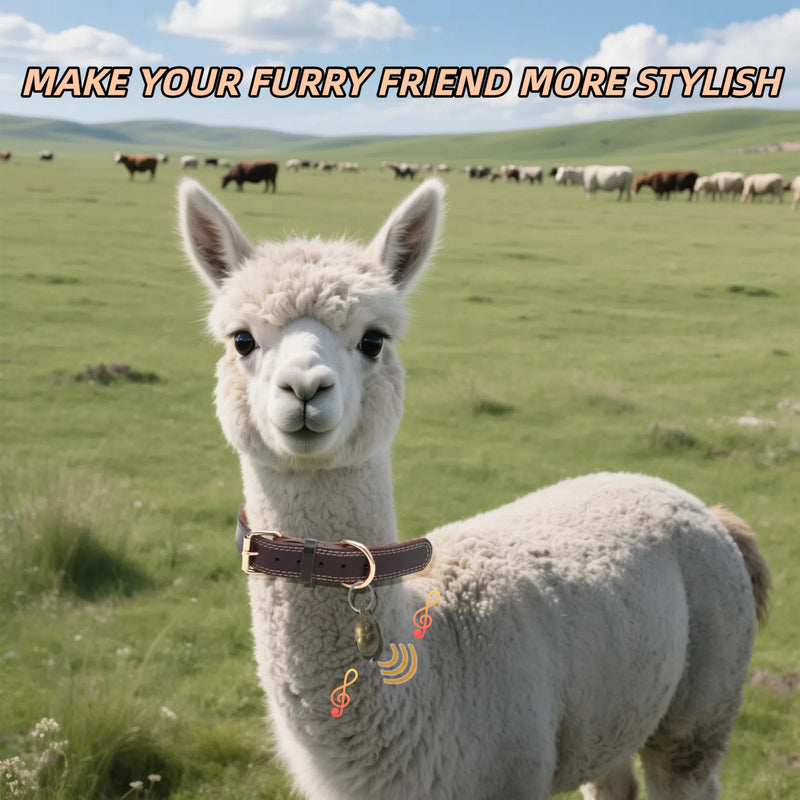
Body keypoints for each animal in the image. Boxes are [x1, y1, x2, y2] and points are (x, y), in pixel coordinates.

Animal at [178, 177, 770, 800]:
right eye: (242, 340)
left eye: (374, 340)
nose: (305, 389)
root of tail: (701, 506)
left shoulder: (510, 769)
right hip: (614, 708)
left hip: (706, 690)